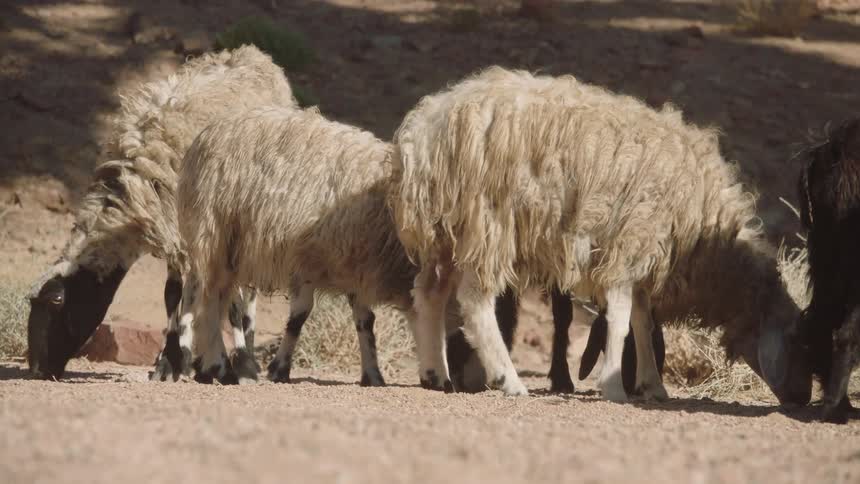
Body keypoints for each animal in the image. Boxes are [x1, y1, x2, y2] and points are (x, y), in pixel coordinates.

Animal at [26, 45, 297, 381]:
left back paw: (244, 350)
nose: (37, 370)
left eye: (57, 305)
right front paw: (170, 361)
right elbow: (173, 294)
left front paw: (235, 364)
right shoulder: (172, 229)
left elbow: (224, 299)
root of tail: (254, 54)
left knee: (246, 292)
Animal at [388, 66, 812, 402]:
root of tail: (424, 131)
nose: (802, 399)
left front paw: (652, 385)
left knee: (430, 294)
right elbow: (621, 323)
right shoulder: (628, 247)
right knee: (475, 300)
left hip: (447, 232)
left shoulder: (643, 258)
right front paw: (614, 387)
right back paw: (507, 378)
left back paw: (436, 374)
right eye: (796, 339)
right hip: (489, 223)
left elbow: (642, 323)